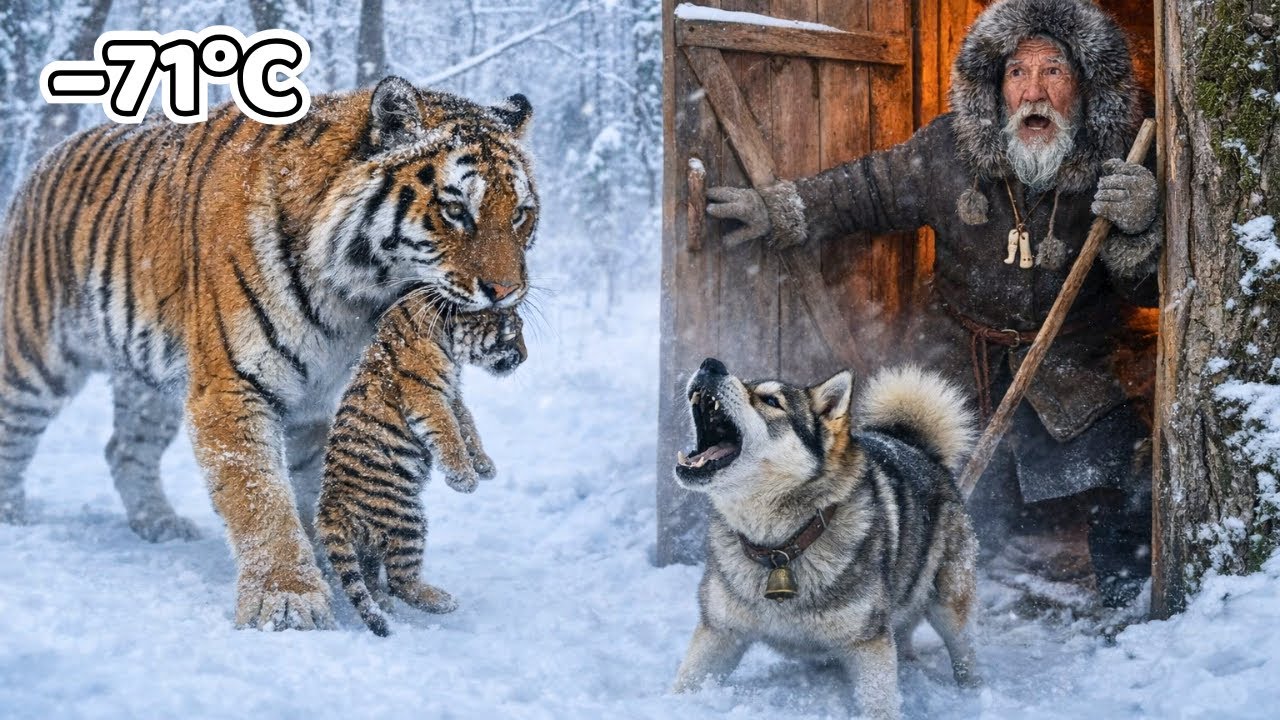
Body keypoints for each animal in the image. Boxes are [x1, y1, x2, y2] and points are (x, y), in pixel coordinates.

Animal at [316, 297, 524, 637]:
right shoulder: (426, 397)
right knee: (401, 582)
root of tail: (329, 511)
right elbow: (450, 434)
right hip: (407, 520)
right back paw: (442, 601)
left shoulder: (453, 395)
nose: (523, 357)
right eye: (512, 334)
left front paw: (484, 466)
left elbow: (468, 426)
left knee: (371, 579)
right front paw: (464, 479)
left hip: (370, 545)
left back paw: (384, 604)